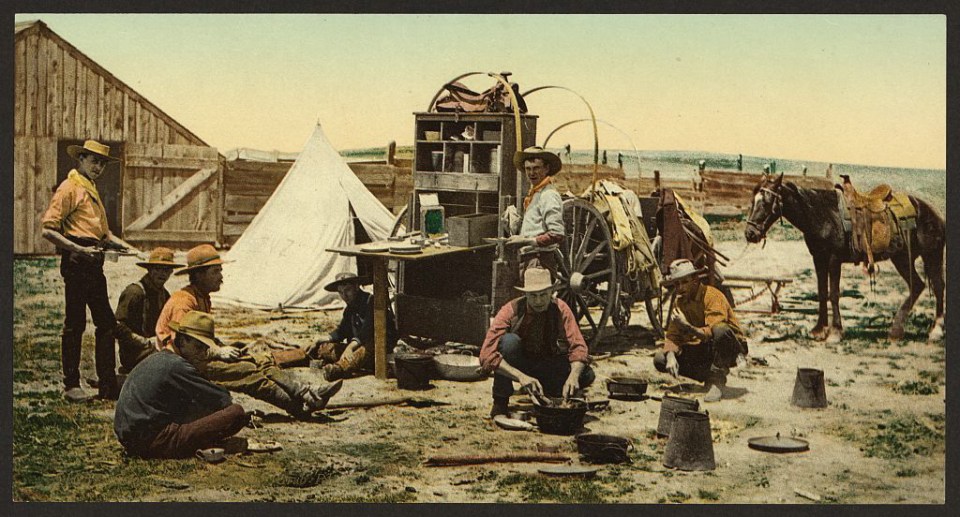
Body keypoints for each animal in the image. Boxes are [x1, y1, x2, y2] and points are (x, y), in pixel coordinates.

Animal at [744, 174, 944, 342]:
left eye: (766, 202)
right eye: (753, 201)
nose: (750, 233)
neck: (822, 214)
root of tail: (933, 213)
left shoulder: (834, 259)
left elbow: (834, 294)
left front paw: (835, 332)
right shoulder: (819, 258)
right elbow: (822, 292)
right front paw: (819, 329)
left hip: (931, 256)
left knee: (937, 287)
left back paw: (935, 331)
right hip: (902, 258)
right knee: (917, 285)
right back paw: (896, 331)